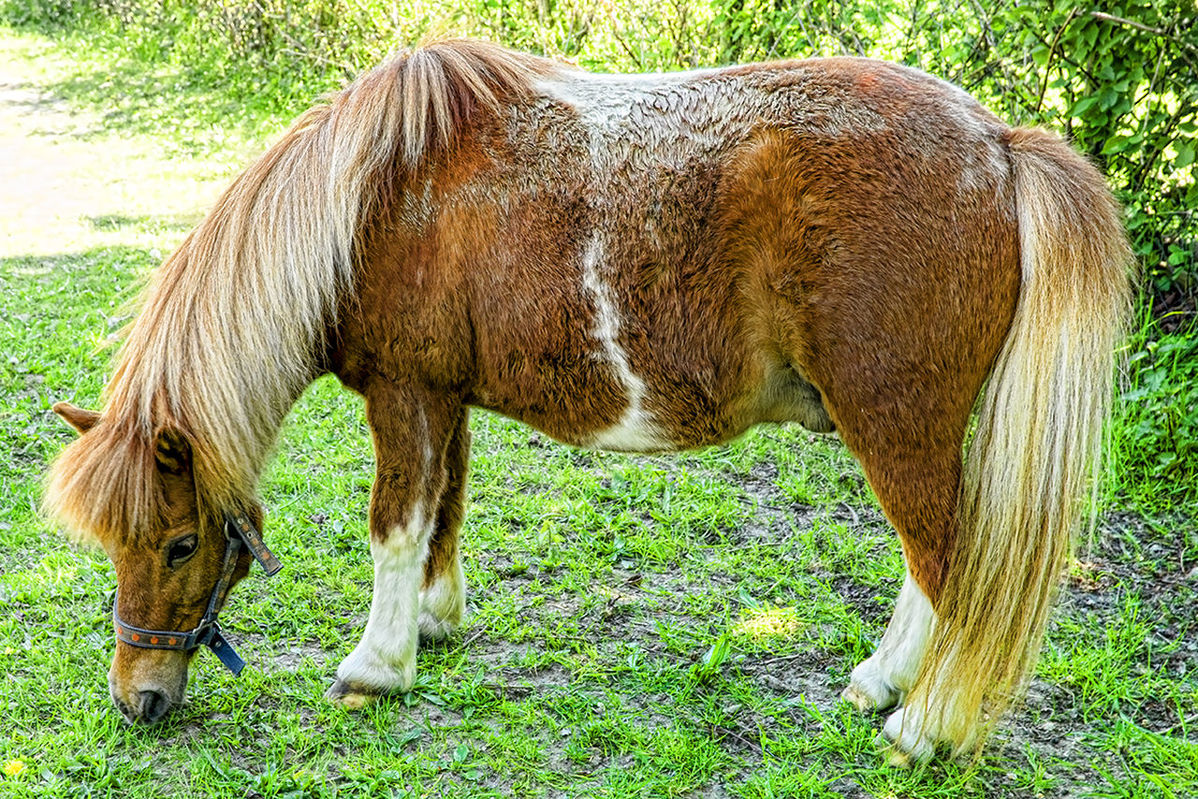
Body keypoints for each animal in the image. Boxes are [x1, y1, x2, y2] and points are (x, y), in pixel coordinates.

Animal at [44, 40, 1130, 766]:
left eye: (180, 543)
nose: (138, 701)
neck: (370, 202)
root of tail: (1000, 144)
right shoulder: (443, 397)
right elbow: (444, 510)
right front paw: (433, 621)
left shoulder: (404, 393)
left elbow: (394, 524)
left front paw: (375, 665)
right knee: (927, 569)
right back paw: (881, 685)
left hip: (897, 426)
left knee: (956, 571)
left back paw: (924, 726)